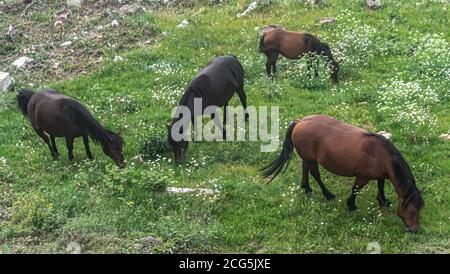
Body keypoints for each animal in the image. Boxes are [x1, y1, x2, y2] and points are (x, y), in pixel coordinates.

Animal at [262, 114, 424, 232]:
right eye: (412, 211)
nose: (414, 230)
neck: (380, 154)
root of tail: (299, 121)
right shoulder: (362, 177)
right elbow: (355, 190)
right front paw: (351, 205)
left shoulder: (380, 175)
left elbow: (380, 186)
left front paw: (383, 201)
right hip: (312, 160)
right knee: (316, 175)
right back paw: (328, 195)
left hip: (308, 158)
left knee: (305, 168)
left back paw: (307, 188)